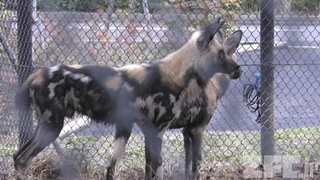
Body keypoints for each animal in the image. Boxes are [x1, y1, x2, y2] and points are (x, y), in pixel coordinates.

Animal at [115, 16, 242, 180]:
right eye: (223, 54)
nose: (239, 68)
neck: (215, 84)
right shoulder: (198, 129)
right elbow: (196, 169)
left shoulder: (186, 131)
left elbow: (187, 165)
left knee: (147, 169)